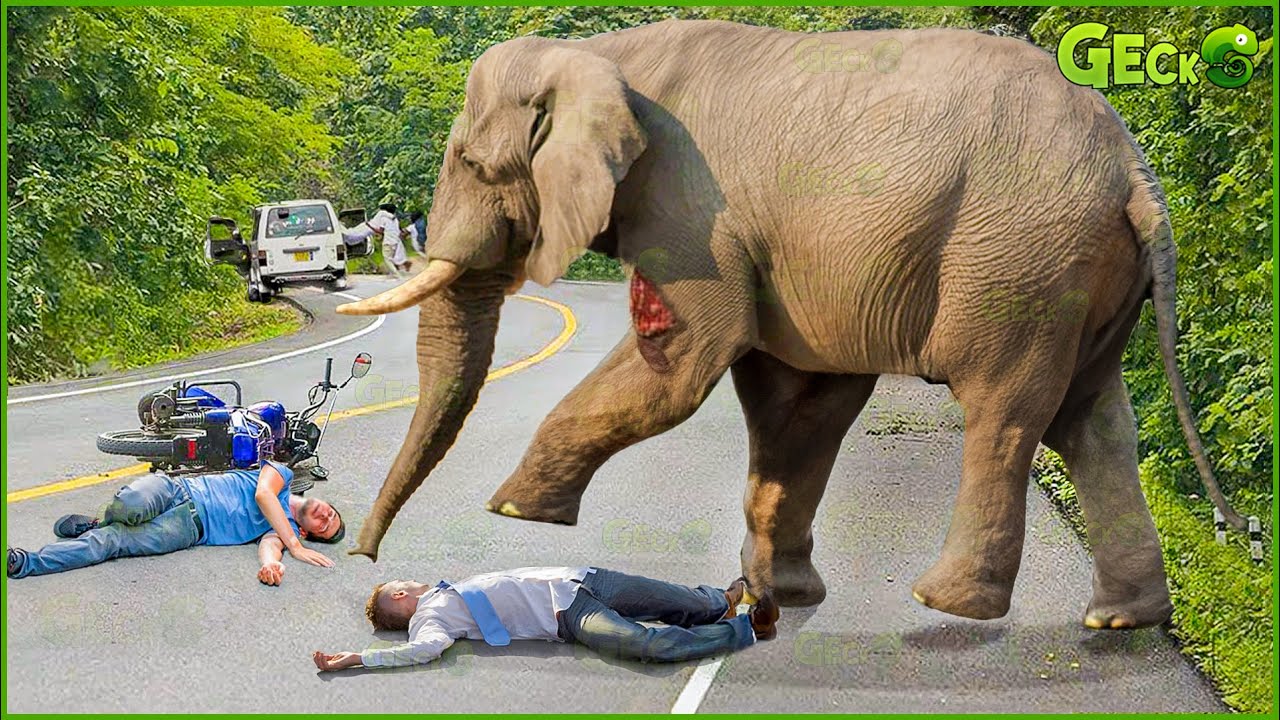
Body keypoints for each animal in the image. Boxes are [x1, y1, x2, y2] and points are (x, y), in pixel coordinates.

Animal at [337, 20, 1245, 630]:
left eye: (472, 164)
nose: (363, 558)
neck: (602, 49)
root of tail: (1134, 167)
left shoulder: (692, 212)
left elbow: (683, 363)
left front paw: (515, 512)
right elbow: (798, 400)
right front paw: (773, 595)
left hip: (1019, 260)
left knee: (1006, 411)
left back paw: (948, 603)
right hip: (1081, 271)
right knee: (1093, 421)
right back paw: (1119, 620)